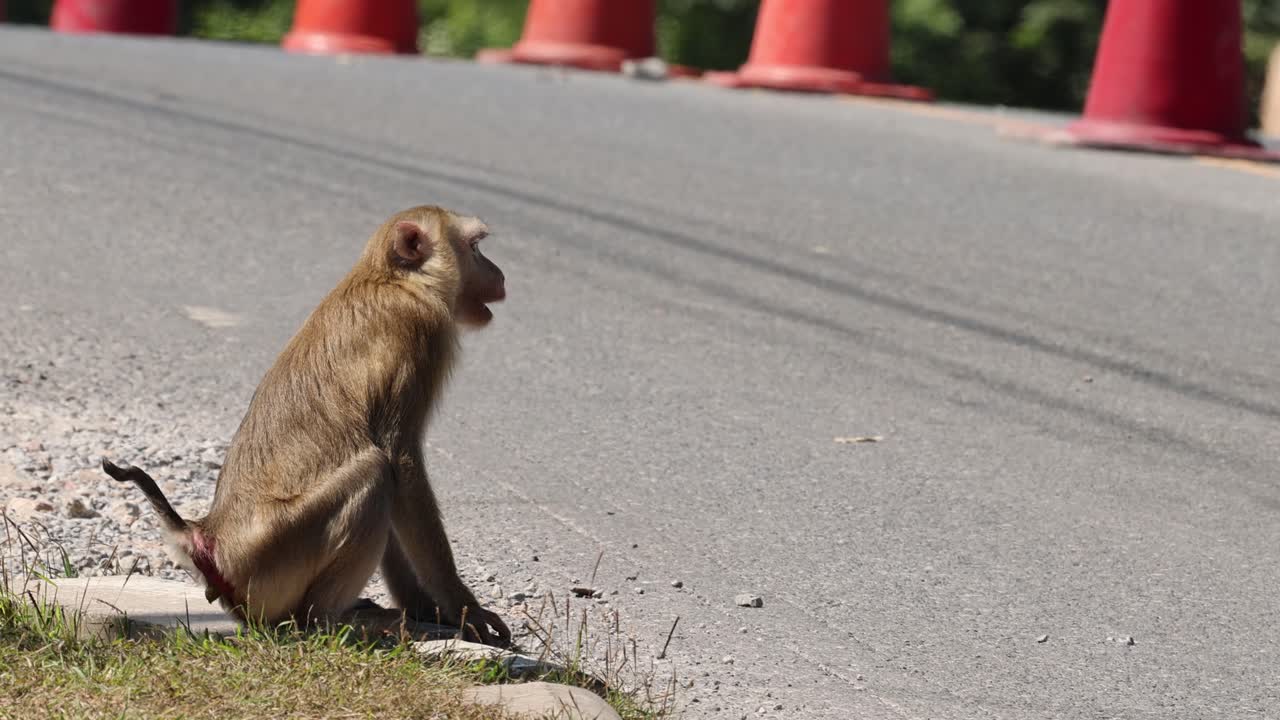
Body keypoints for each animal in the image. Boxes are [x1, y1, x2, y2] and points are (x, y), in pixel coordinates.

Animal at [102, 205, 511, 646]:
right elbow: (401, 461)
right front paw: (462, 610)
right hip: (274, 558)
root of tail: (208, 536)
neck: (393, 279)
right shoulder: (422, 334)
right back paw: (322, 621)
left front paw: (425, 608)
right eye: (476, 247)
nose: (500, 273)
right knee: (375, 472)